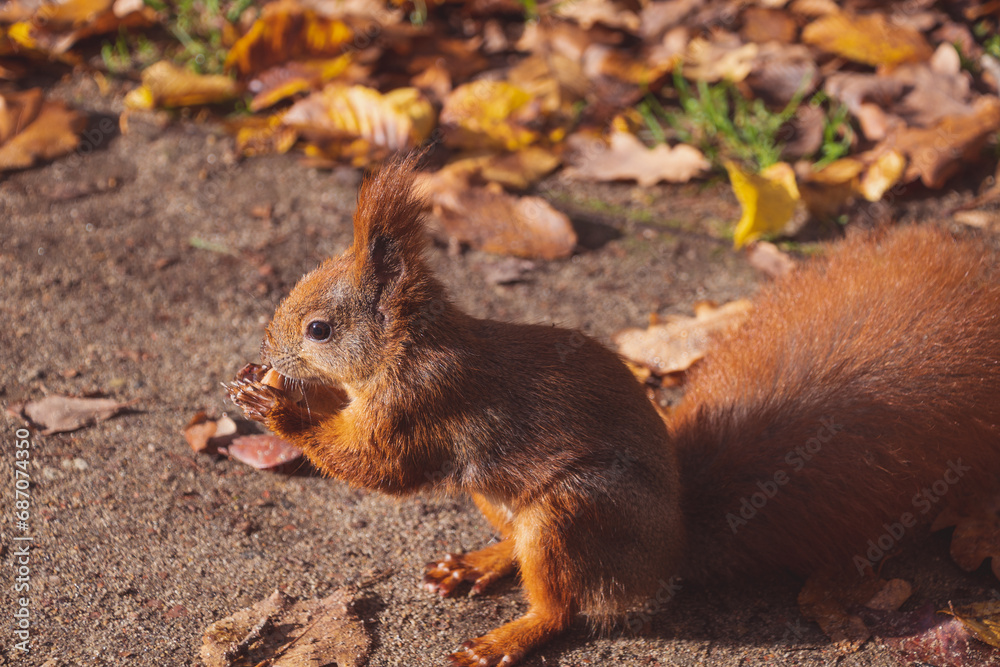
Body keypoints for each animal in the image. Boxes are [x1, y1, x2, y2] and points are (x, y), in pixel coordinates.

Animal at [228, 154, 1000, 666]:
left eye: (319, 329)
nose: (266, 344)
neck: (404, 348)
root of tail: (673, 549)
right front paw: (260, 383)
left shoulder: (424, 400)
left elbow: (379, 466)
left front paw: (279, 406)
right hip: (499, 499)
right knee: (519, 549)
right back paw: (481, 561)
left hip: (575, 512)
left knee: (562, 606)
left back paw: (509, 636)